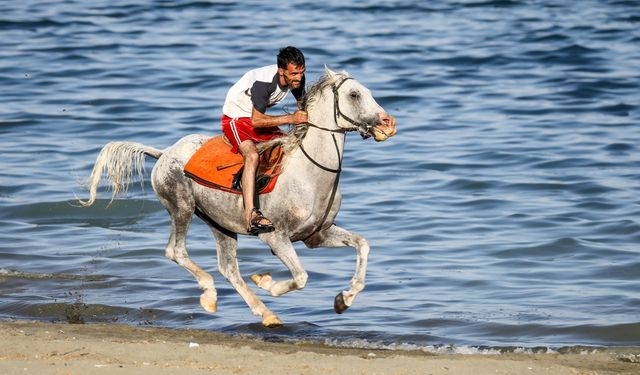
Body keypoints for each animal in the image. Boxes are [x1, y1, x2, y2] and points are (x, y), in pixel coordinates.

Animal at [80, 69, 396, 328]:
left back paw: (265, 314)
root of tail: (165, 153)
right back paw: (211, 295)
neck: (309, 173)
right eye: (354, 94)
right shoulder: (275, 237)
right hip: (182, 208)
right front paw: (267, 282)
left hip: (219, 224)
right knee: (176, 251)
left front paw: (344, 299)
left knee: (228, 268)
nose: (387, 122)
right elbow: (301, 277)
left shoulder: (316, 235)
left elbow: (362, 244)